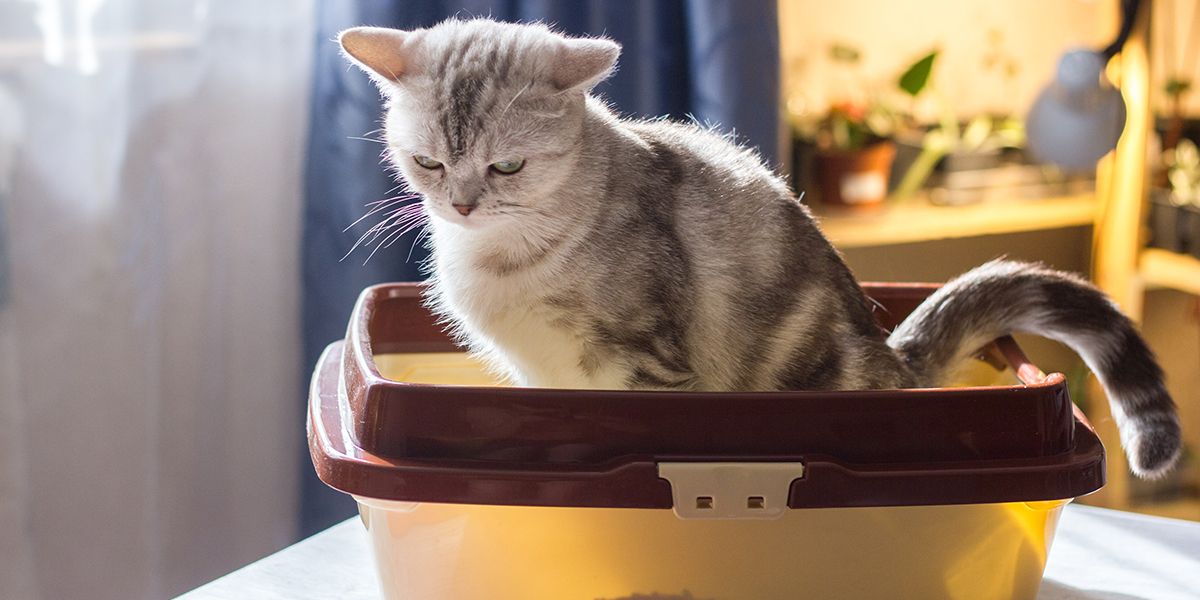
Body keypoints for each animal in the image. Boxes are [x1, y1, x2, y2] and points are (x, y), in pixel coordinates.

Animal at [338, 17, 1180, 477]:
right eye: (427, 162)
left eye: (507, 166)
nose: (461, 203)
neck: (504, 257)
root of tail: (891, 360)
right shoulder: (532, 374)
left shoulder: (646, 365)